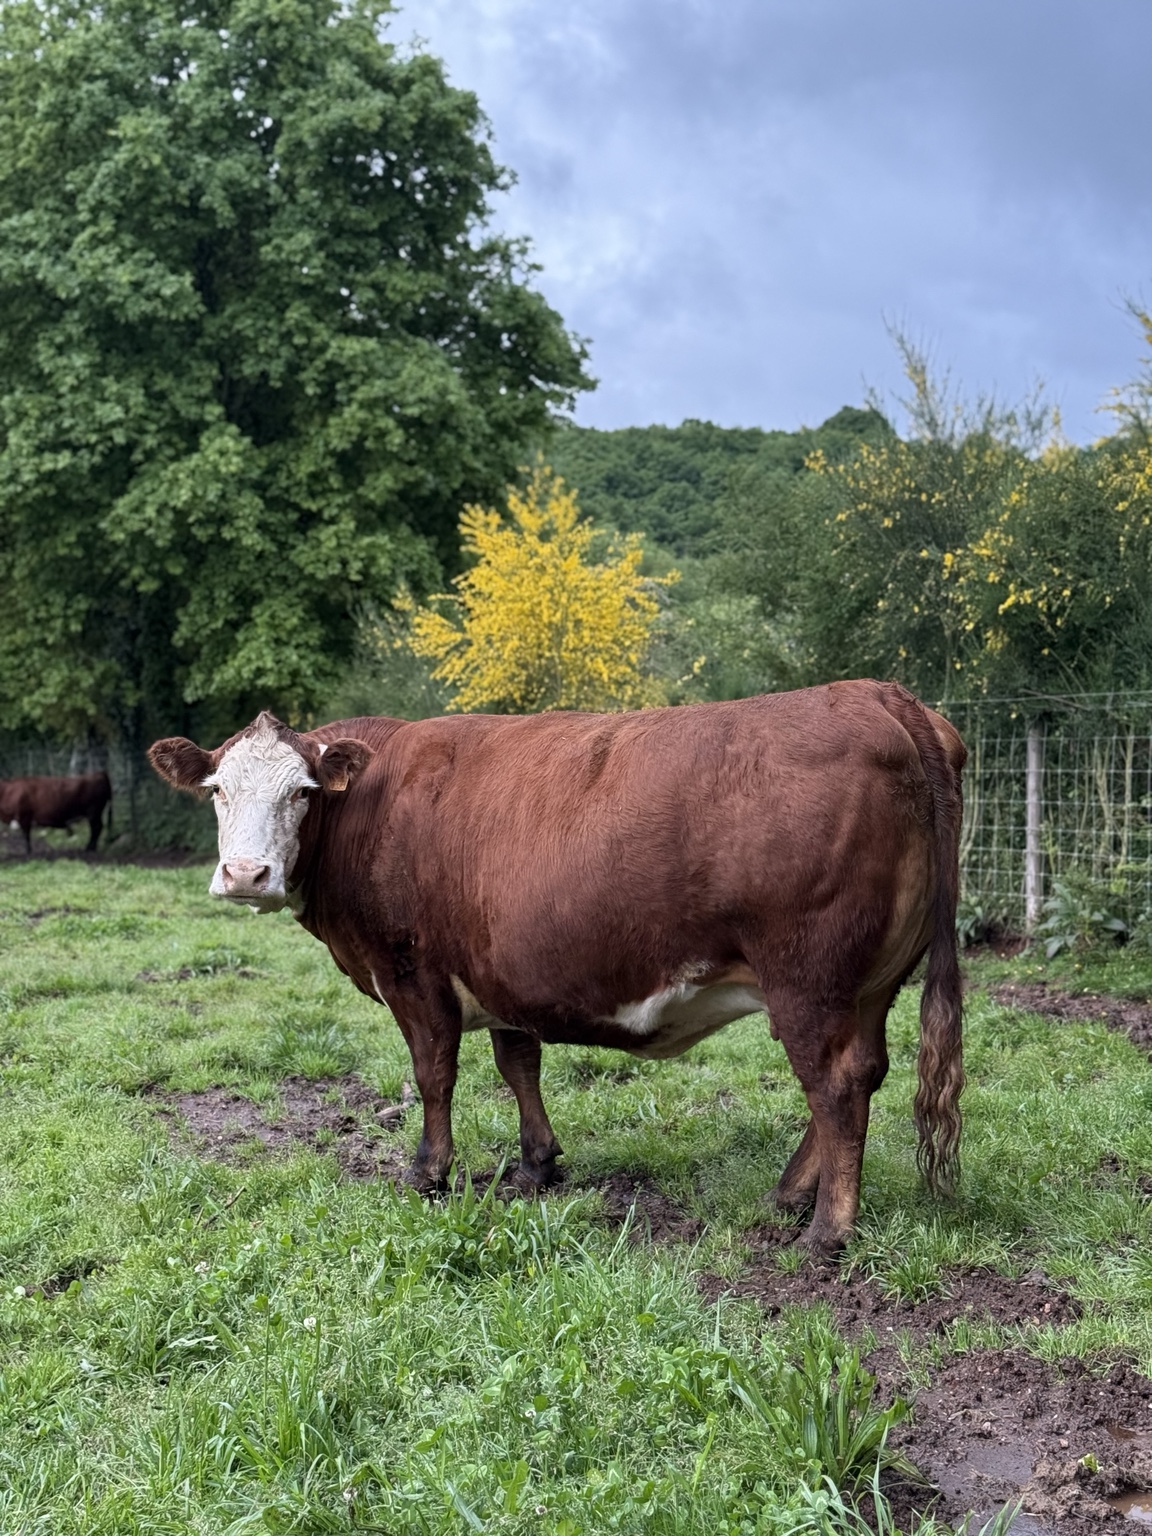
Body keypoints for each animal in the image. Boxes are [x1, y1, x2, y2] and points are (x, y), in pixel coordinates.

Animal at [149, 680, 966, 1257]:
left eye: (303, 791)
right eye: (218, 790)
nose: (246, 874)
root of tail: (875, 693)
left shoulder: (412, 970)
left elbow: (433, 1074)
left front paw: (429, 1173)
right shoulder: (502, 970)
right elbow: (518, 1063)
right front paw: (537, 1164)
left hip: (807, 978)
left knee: (834, 1086)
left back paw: (826, 1230)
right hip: (869, 983)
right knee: (863, 1072)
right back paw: (789, 1196)